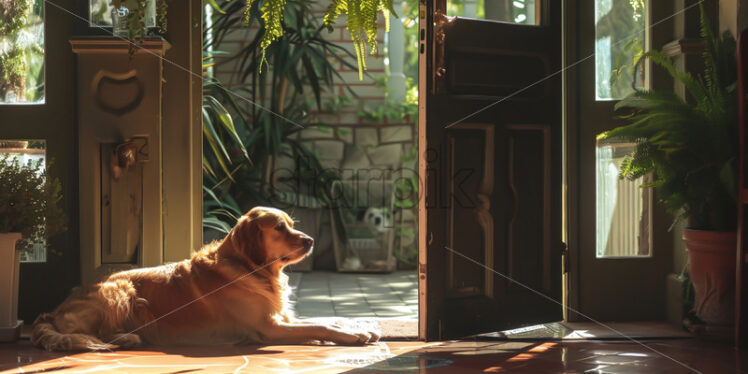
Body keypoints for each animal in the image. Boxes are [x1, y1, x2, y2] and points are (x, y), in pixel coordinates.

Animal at [32, 207, 380, 350]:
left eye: (292, 224)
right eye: (280, 228)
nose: (310, 241)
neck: (250, 268)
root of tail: (54, 310)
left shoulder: (281, 318)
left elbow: (327, 321)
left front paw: (358, 326)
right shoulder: (268, 327)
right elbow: (321, 326)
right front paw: (354, 336)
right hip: (121, 291)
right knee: (94, 332)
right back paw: (128, 338)